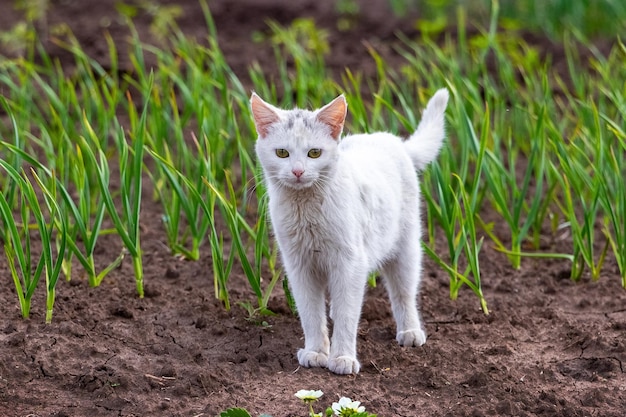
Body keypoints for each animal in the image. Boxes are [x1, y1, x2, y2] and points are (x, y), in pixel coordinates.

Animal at [251, 88, 446, 374]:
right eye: (282, 153)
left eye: (314, 153)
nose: (298, 171)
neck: (306, 208)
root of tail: (392, 140)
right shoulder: (299, 266)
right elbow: (310, 313)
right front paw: (316, 352)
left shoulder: (350, 262)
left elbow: (347, 314)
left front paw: (342, 358)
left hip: (406, 248)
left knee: (404, 292)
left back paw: (410, 331)